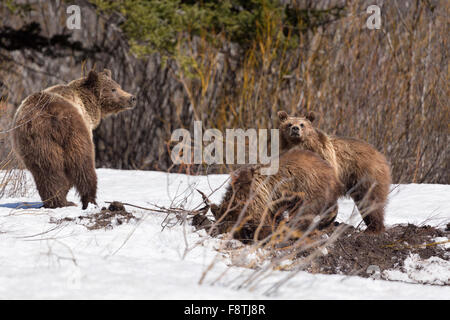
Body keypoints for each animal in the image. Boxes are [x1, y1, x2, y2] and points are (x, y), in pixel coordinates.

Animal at [11, 69, 135, 209]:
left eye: (119, 86)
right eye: (113, 89)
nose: (131, 98)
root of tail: (51, 116)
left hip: (38, 142)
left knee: (47, 171)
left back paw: (57, 201)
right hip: (74, 135)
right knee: (83, 166)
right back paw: (89, 201)